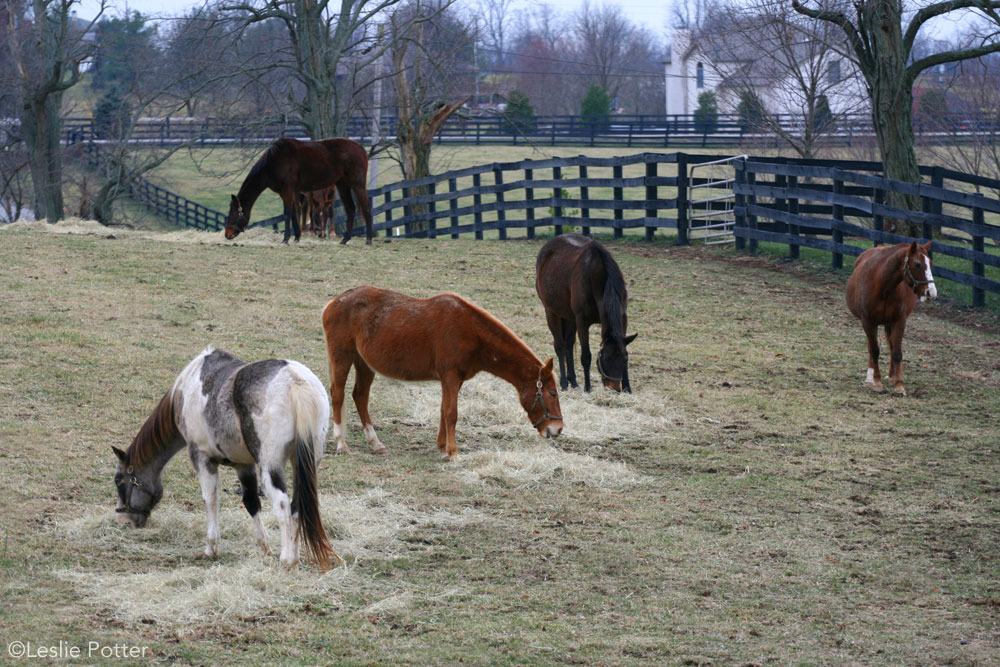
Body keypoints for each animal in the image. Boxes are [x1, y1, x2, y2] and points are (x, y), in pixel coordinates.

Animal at [111, 348, 340, 572]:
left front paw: (211, 548)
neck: (185, 391)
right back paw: (295, 556)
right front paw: (264, 548)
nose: (123, 521)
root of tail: (294, 380)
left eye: (119, 481)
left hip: (271, 468)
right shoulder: (244, 465)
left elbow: (210, 500)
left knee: (283, 507)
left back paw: (287, 560)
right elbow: (251, 503)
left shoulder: (202, 459)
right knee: (296, 507)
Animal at [225, 138, 374, 245]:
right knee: (350, 209)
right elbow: (293, 213)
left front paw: (285, 240)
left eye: (234, 213)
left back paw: (368, 240)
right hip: (342, 185)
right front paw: (296, 237)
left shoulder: (287, 190)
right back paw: (345, 239)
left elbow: (287, 213)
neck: (274, 162)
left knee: (366, 208)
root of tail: (359, 147)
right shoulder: (288, 192)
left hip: (357, 185)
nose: (227, 234)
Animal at [322, 284, 564, 462]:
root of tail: (333, 303)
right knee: (338, 395)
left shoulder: (452, 380)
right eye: (552, 393)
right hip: (342, 357)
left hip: (364, 364)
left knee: (360, 396)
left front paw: (441, 447)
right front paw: (453, 452)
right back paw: (341, 443)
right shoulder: (450, 376)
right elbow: (451, 413)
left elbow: (442, 409)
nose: (557, 430)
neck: (471, 331)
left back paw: (375, 443)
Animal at [536, 234, 636, 392]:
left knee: (568, 343)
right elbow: (586, 356)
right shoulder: (582, 320)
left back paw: (573, 381)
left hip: (569, 317)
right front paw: (587, 387)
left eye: (624, 359)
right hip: (551, 313)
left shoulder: (623, 317)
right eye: (606, 358)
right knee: (560, 346)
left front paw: (628, 388)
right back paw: (564, 383)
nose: (614, 388)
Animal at [844, 240, 936, 396]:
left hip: (888, 323)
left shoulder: (899, 321)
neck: (883, 285)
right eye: (917, 264)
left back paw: (892, 376)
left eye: (930, 263)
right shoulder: (868, 322)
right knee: (871, 346)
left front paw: (899, 385)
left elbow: (897, 352)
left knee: (891, 345)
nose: (931, 292)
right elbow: (874, 350)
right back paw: (870, 377)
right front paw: (877, 382)